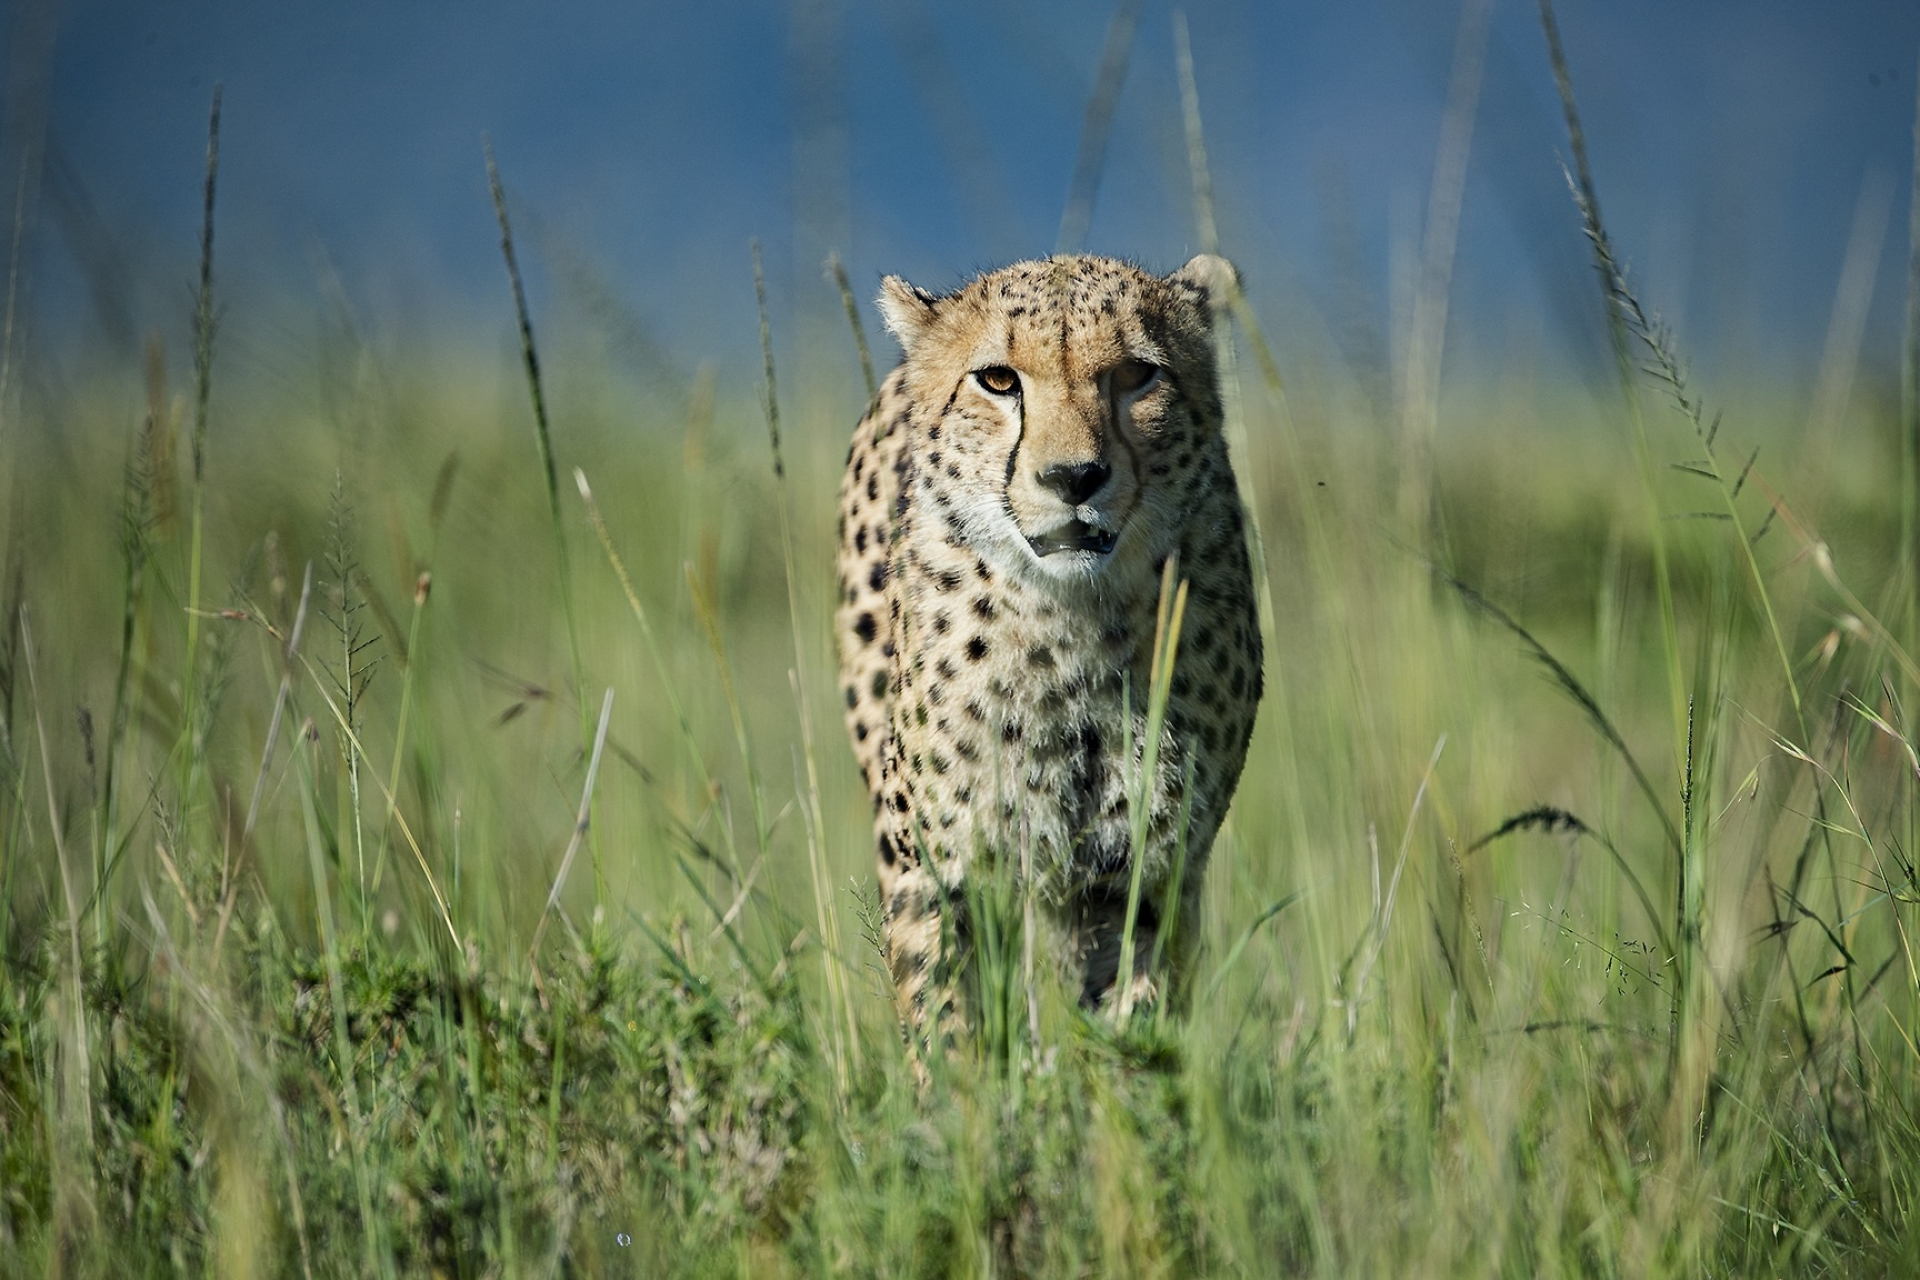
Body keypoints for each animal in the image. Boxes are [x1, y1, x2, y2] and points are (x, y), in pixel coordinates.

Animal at [837, 253, 1259, 1043]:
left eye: (1136, 375)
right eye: (998, 380)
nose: (1073, 477)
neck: (1068, 629)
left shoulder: (1144, 869)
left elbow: (1135, 1020)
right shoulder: (940, 867)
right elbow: (947, 1022)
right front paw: (961, 1080)